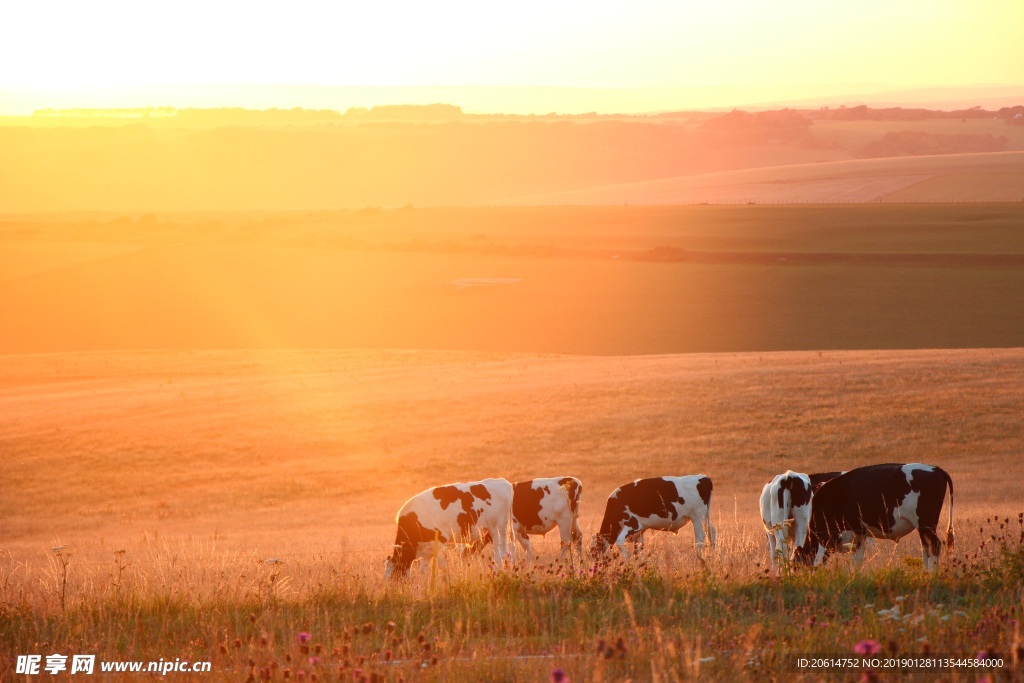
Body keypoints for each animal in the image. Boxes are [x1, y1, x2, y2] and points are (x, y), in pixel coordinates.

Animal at [382, 479, 512, 581]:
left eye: (394, 574)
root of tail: (503, 482)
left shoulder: (439, 541)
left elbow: (442, 567)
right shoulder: (426, 550)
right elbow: (423, 570)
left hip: (498, 527)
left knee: (500, 553)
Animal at [790, 464, 950, 573]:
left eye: (796, 566)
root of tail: (935, 469)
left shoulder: (827, 537)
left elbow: (819, 561)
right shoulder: (859, 536)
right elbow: (857, 562)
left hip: (925, 524)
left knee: (934, 546)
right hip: (924, 528)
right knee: (927, 548)